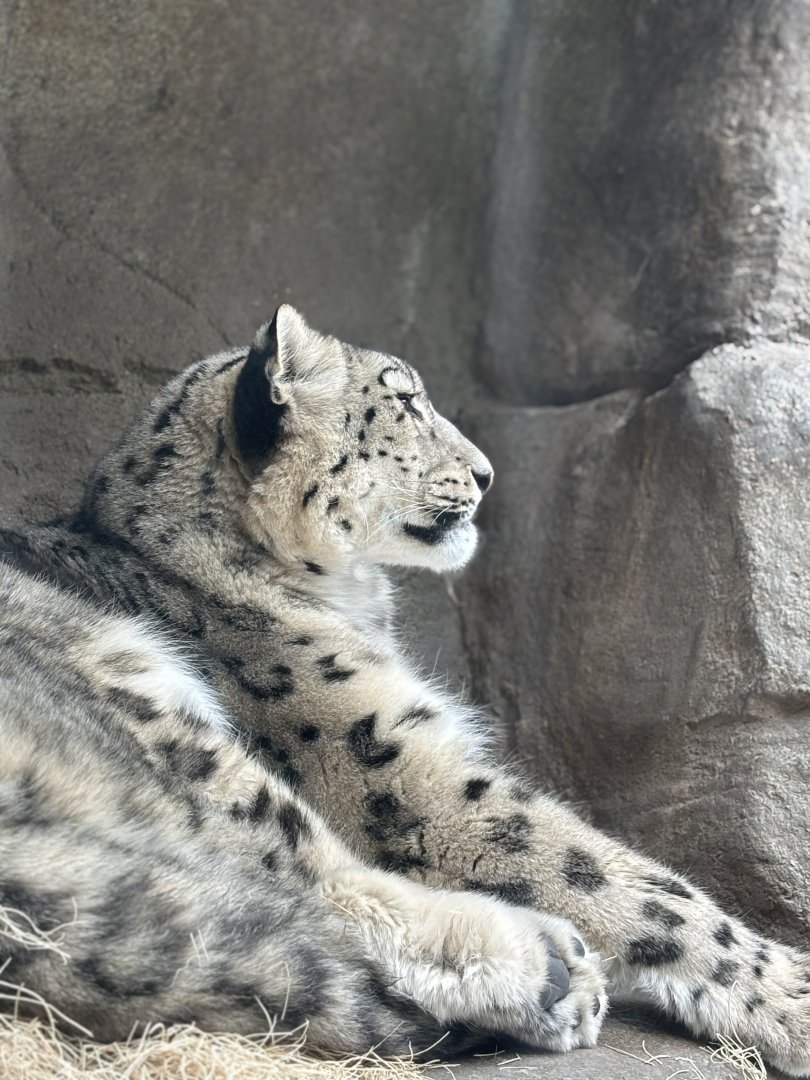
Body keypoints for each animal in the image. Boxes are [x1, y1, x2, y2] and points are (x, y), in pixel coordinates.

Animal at [1, 304, 809, 1074]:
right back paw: (545, 967)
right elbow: (615, 876)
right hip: (145, 701)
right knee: (284, 865)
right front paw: (789, 994)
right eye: (407, 401)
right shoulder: (396, 762)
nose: (486, 474)